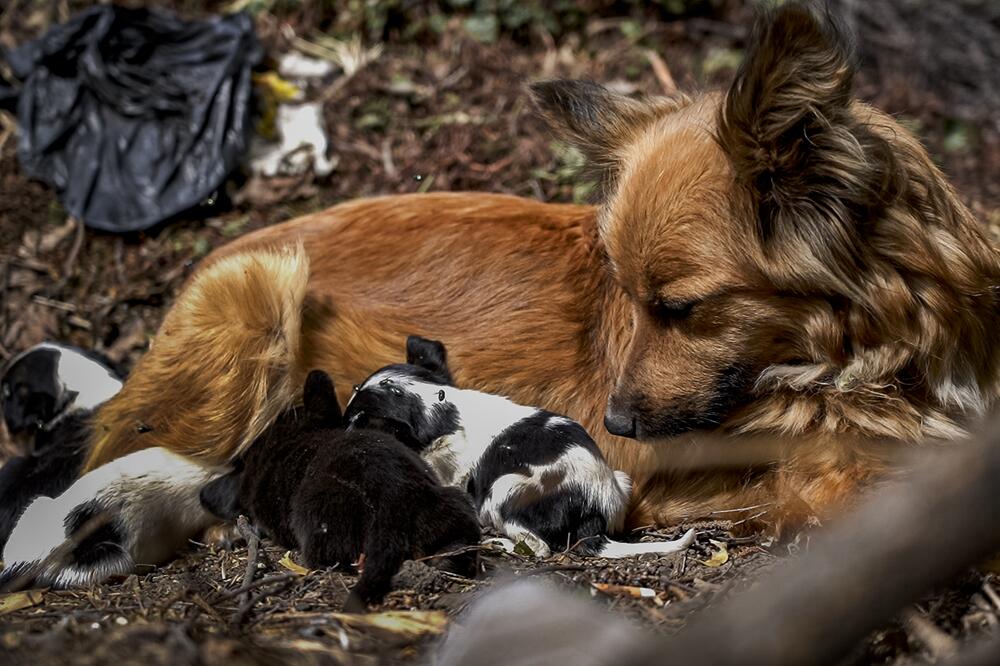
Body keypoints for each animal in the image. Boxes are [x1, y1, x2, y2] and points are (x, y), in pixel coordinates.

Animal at [344, 334, 696, 556]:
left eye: (357, 419)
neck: (443, 409)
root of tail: (592, 521)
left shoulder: (450, 475)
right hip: (622, 479)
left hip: (503, 492)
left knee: (539, 549)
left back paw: (498, 544)